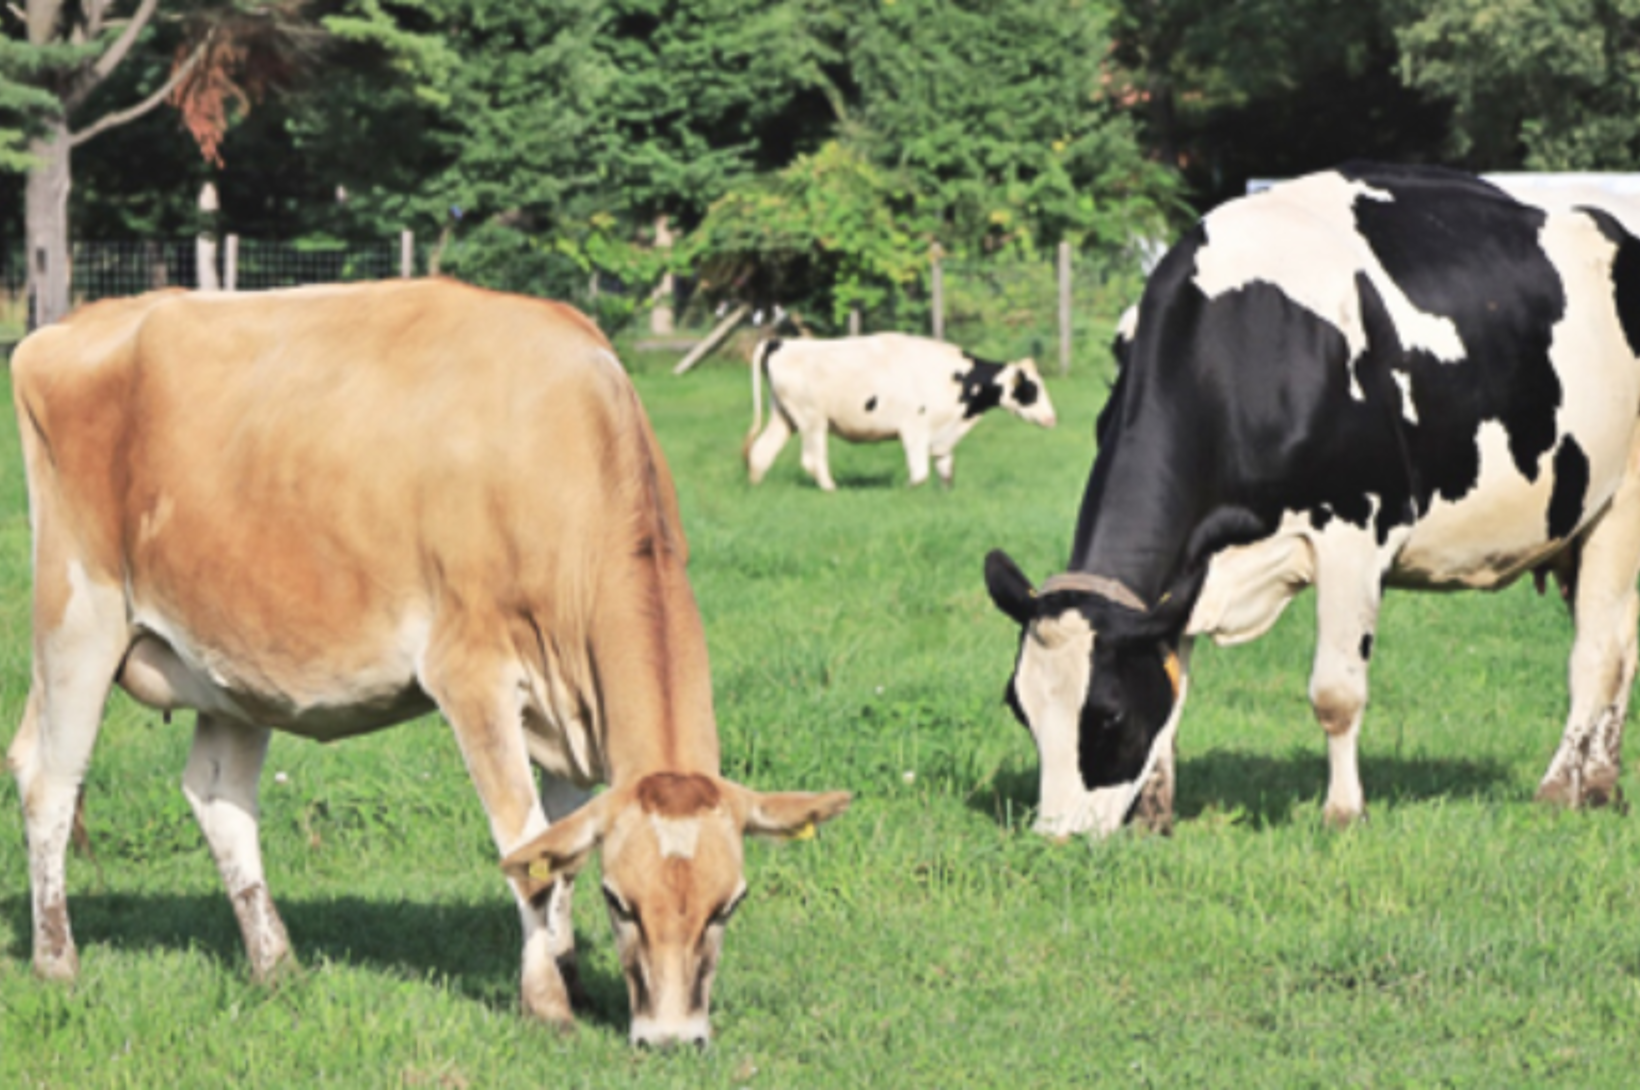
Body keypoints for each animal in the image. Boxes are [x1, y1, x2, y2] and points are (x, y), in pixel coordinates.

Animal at [12, 280, 852, 1049]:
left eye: (729, 903)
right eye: (622, 902)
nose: (673, 1040)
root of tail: (73, 325)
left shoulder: (569, 710)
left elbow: (560, 849)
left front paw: (572, 978)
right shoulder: (472, 673)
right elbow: (524, 846)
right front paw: (547, 1004)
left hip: (230, 663)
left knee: (216, 798)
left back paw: (276, 965)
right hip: (77, 615)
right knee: (49, 780)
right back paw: (58, 963)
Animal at [741, 329, 1049, 485]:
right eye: (1031, 389)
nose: (1051, 417)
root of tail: (781, 343)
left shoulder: (942, 436)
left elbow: (946, 471)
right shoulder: (915, 428)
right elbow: (920, 475)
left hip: (784, 416)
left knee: (761, 452)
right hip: (811, 419)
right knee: (813, 460)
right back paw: (832, 490)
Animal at [984, 161, 1640, 835]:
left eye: (1108, 713)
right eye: (1020, 707)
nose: (1056, 838)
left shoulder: (1357, 532)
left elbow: (1336, 692)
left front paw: (1344, 813)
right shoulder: (1189, 570)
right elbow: (1174, 685)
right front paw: (1154, 814)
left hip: (1621, 501)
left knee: (1599, 651)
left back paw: (1561, 788)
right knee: (1624, 644)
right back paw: (1601, 784)